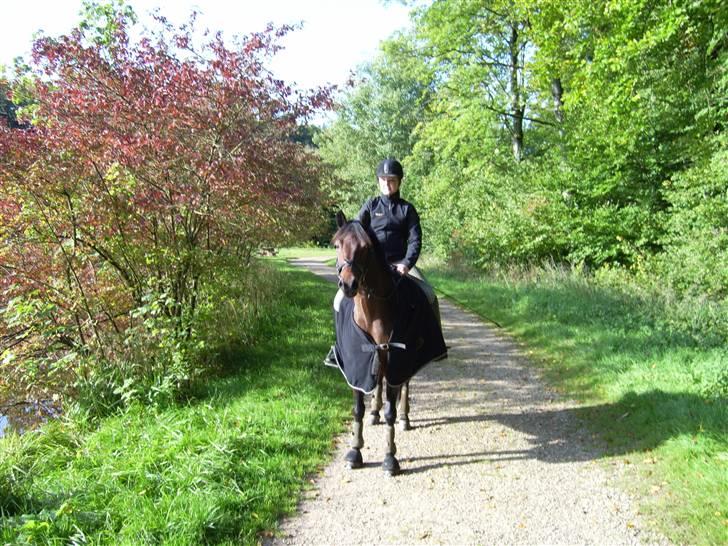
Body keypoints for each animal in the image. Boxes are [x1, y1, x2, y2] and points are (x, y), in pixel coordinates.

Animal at [334, 210, 412, 474]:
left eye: (365, 247)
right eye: (336, 244)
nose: (348, 285)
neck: (372, 312)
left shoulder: (395, 360)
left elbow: (391, 410)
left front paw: (390, 457)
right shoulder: (357, 363)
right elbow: (358, 409)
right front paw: (354, 452)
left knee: (405, 385)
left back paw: (405, 418)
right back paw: (374, 412)